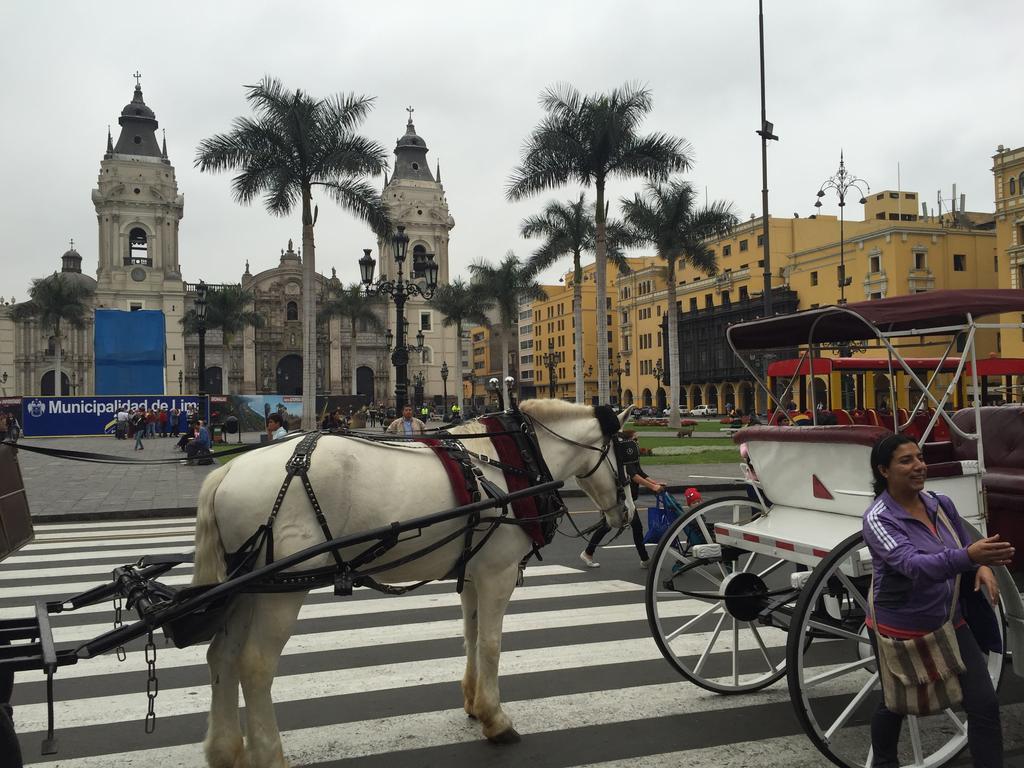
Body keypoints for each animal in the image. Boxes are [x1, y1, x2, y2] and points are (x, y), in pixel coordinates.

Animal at [191, 399, 630, 765]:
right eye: (628, 453)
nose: (624, 515)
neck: (515, 461)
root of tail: (228, 470)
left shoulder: (474, 571)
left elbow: (471, 636)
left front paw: (474, 704)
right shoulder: (498, 573)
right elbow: (491, 644)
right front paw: (496, 719)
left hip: (246, 587)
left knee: (222, 656)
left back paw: (224, 750)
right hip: (282, 589)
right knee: (255, 664)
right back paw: (268, 755)